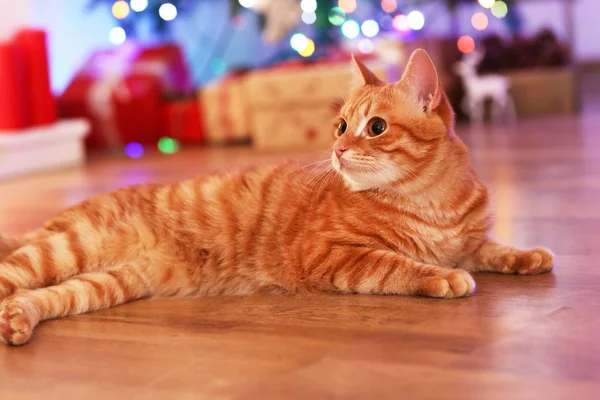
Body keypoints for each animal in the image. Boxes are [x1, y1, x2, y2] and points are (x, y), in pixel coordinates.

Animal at [0, 49, 552, 344]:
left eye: (374, 127)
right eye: (341, 125)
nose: (337, 148)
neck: (429, 201)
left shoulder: (469, 240)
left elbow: (493, 248)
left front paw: (528, 255)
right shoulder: (331, 255)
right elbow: (399, 266)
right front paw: (441, 276)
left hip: (106, 282)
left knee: (38, 297)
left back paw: (19, 320)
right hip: (62, 250)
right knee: (11, 277)